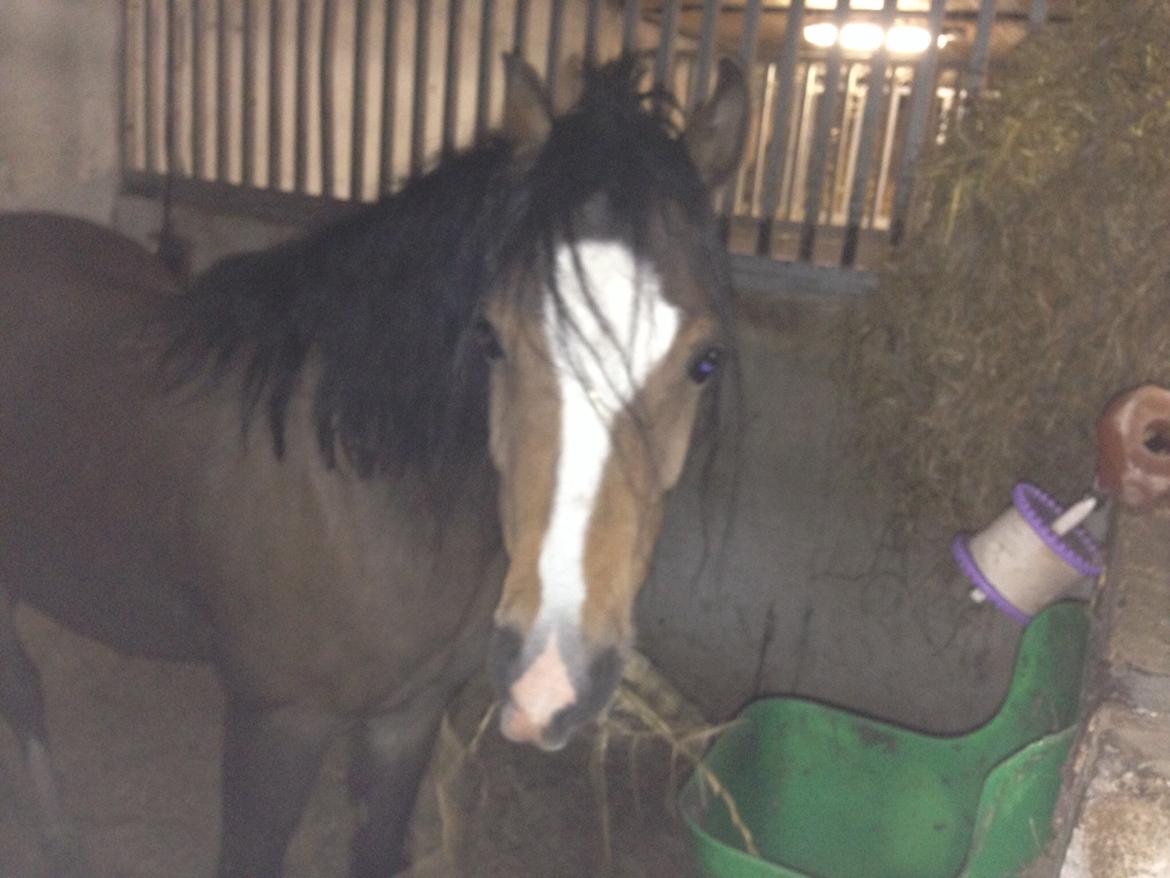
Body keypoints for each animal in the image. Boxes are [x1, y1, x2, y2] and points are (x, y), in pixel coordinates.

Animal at [0, 55, 748, 876]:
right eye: (490, 338)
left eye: (706, 361)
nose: (551, 680)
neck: (361, 493)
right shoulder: (277, 725)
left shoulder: (408, 718)